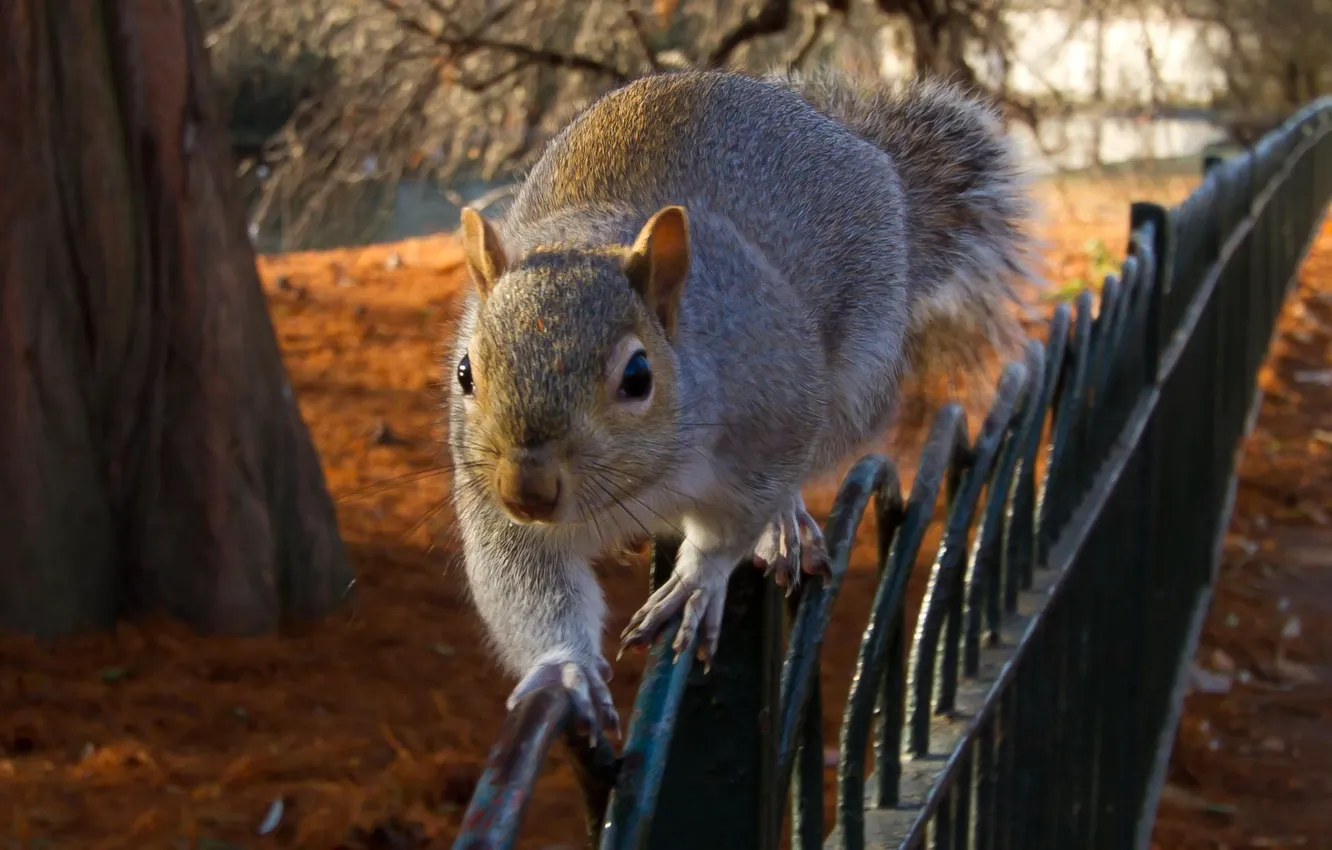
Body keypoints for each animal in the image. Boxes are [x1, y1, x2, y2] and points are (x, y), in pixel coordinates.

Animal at [442, 68, 1033, 740]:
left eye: (638, 376)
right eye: (465, 372)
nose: (527, 492)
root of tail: (861, 148)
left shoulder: (771, 419)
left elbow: (733, 524)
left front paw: (700, 580)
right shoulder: (489, 499)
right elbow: (524, 583)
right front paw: (565, 669)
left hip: (853, 379)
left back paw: (785, 525)